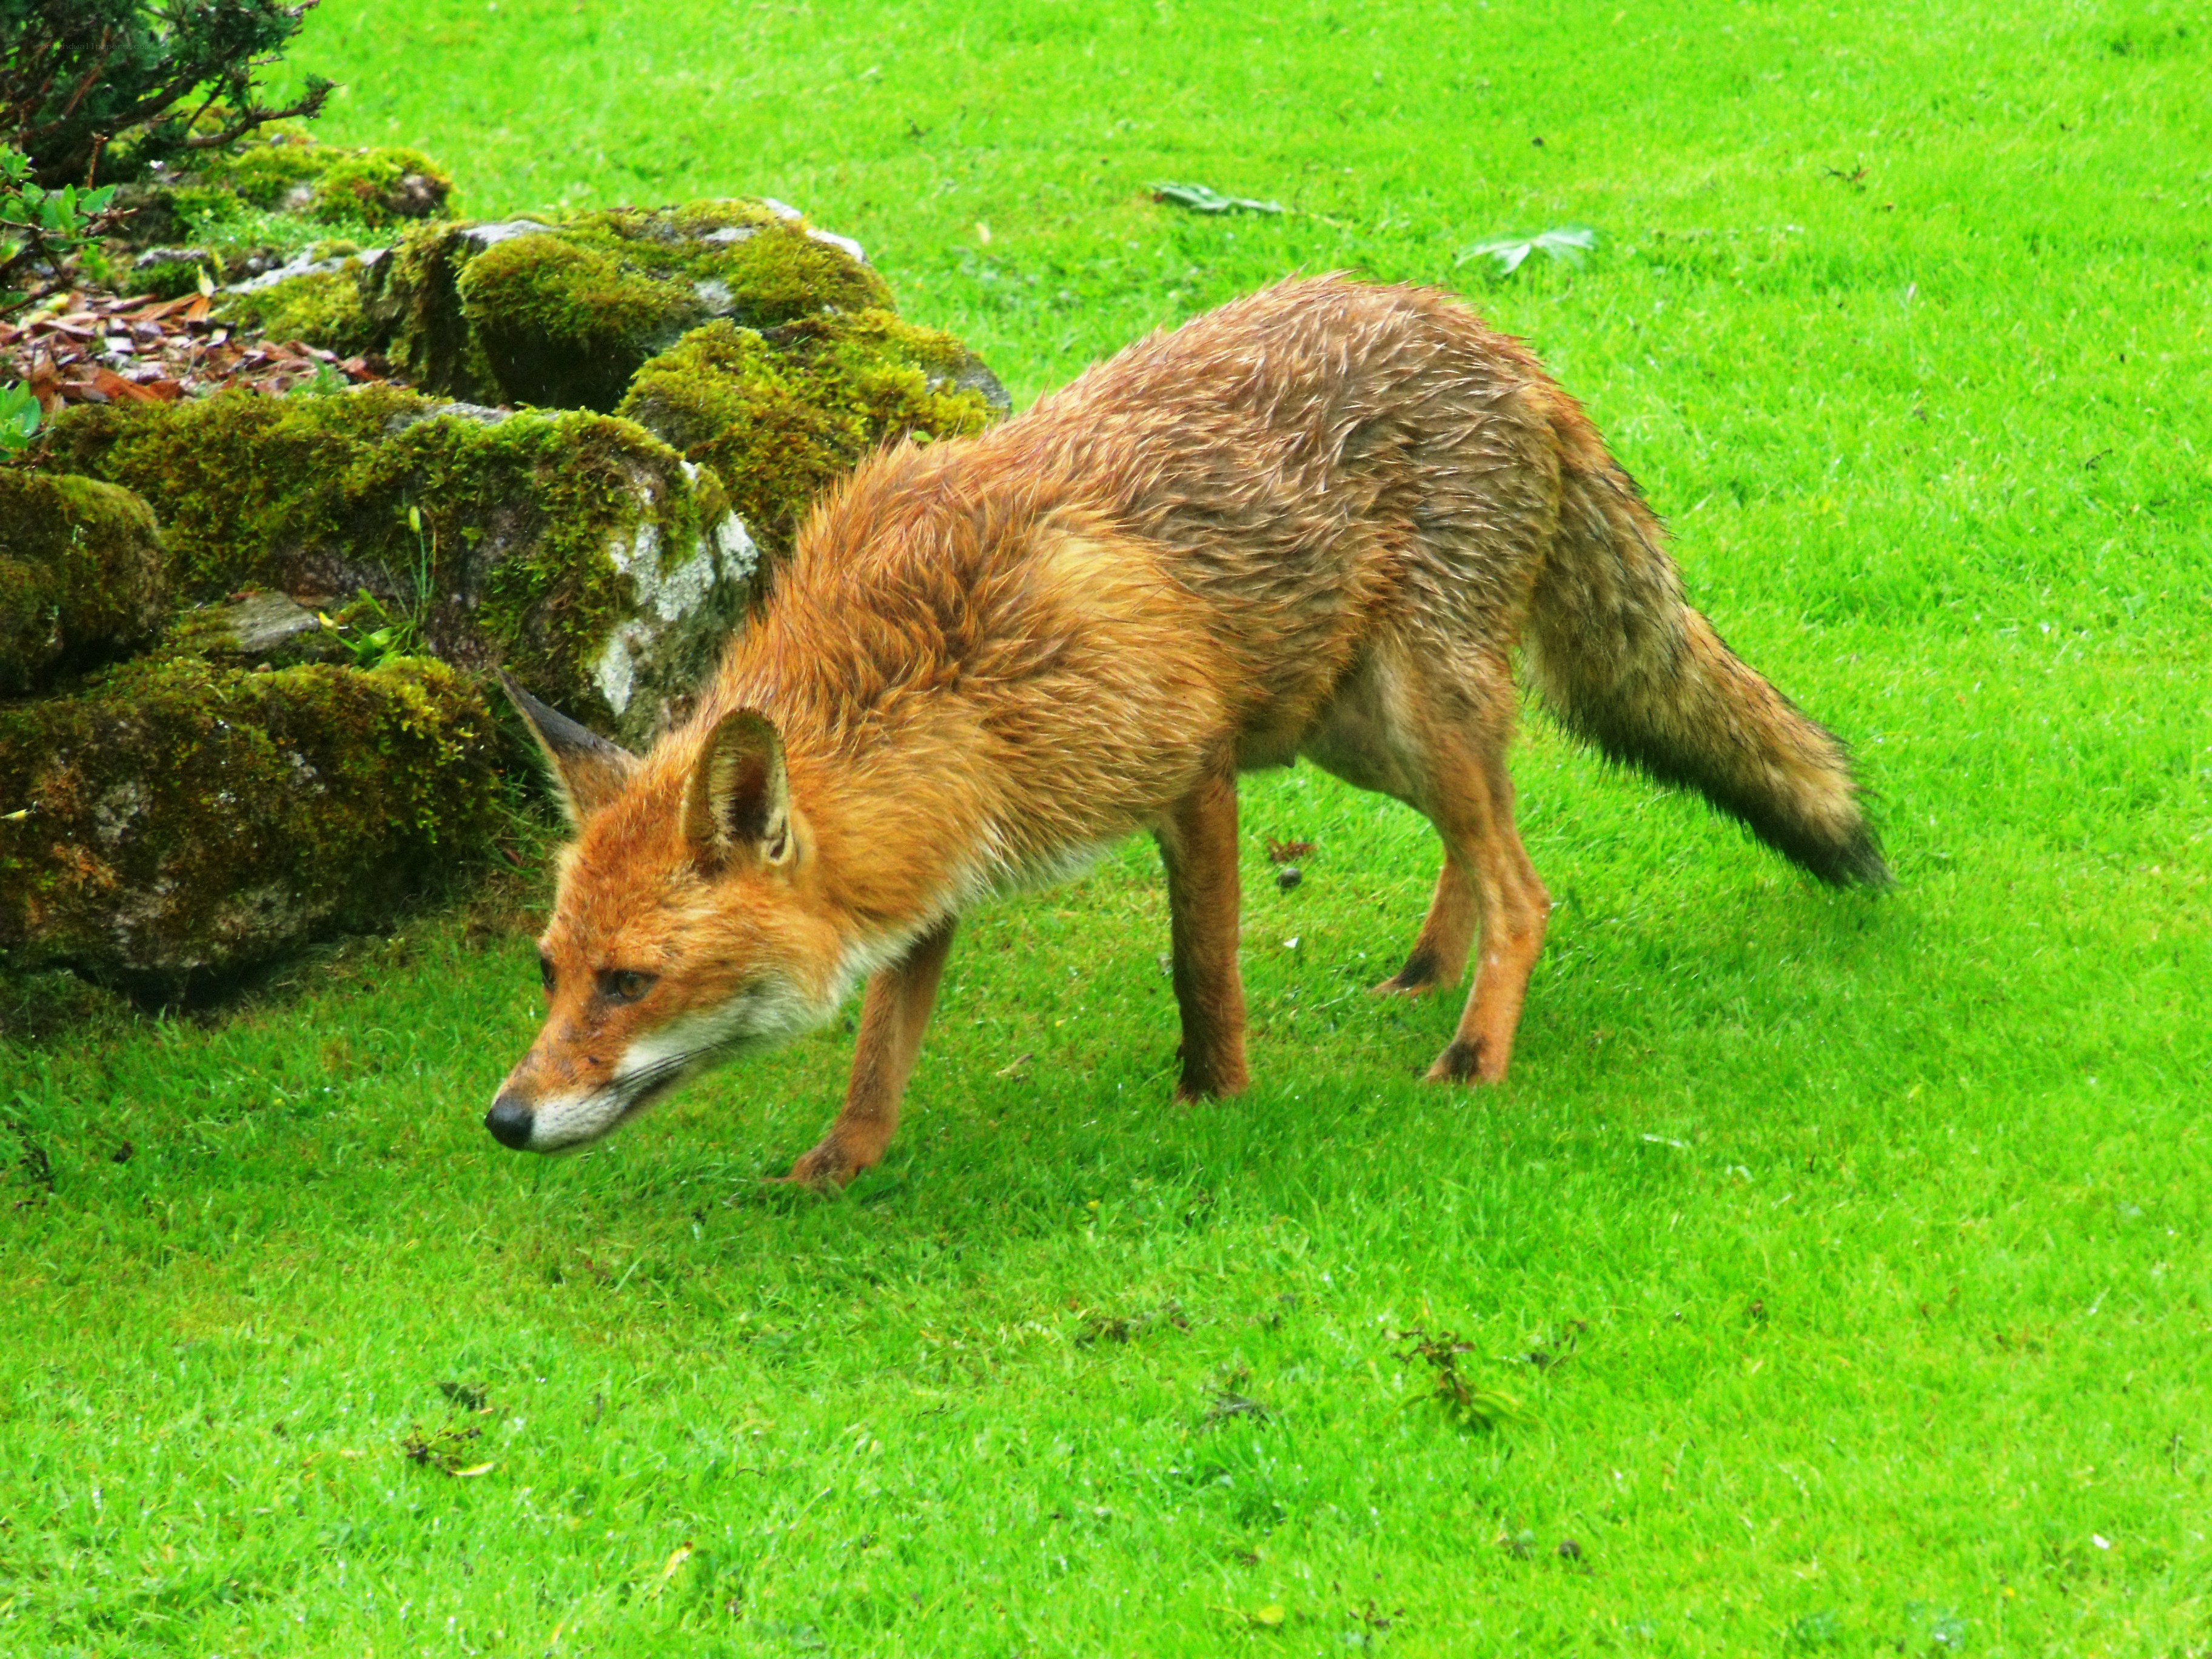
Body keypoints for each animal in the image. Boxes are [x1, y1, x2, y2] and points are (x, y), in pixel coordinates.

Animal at [485, 274, 1886, 1184]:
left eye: (630, 983)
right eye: (549, 973)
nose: (504, 1119)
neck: (945, 673)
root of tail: (1497, 338)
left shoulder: (1191, 769)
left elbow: (1200, 967)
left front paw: (1215, 1101)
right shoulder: (933, 862)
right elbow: (883, 1046)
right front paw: (838, 1165)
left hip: (1410, 704)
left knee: (1526, 885)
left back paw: (1474, 1053)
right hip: (1358, 730)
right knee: (1484, 838)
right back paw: (1428, 968)